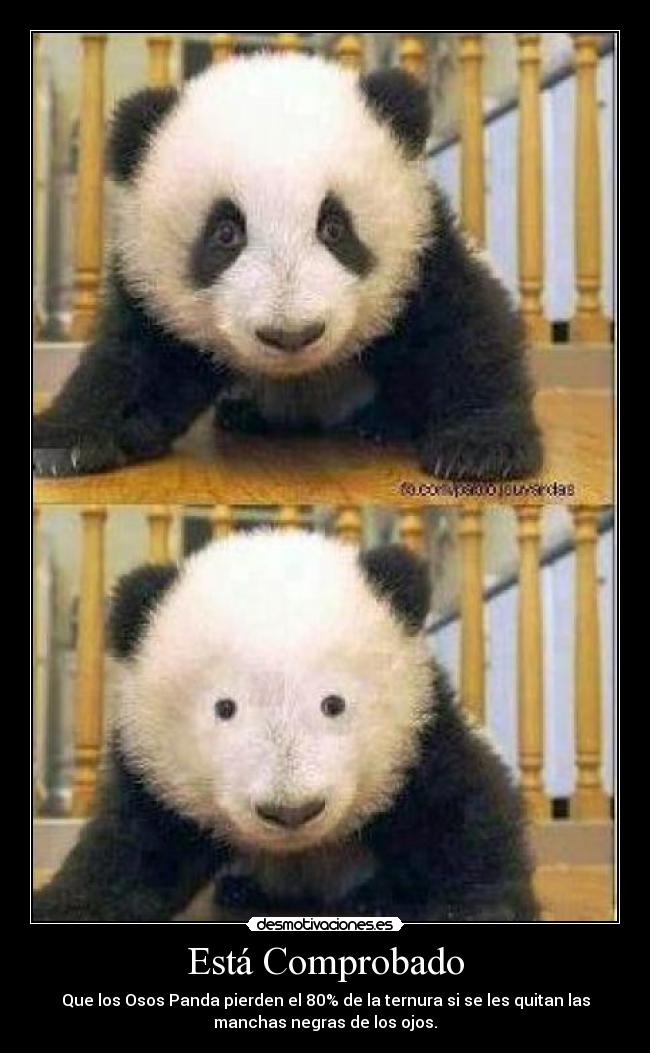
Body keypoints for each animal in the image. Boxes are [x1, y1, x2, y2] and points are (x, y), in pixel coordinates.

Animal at [33, 54, 542, 481]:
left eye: (334, 227)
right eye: (225, 233)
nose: (291, 335)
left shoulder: (422, 254)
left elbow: (465, 330)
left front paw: (481, 449)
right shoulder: (152, 290)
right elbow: (132, 359)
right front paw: (65, 443)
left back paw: (382, 422)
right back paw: (246, 414)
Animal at [33, 530, 538, 922]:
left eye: (333, 704)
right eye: (225, 708)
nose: (291, 811)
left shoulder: (420, 735)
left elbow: (462, 824)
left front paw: (474, 906)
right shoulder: (153, 766)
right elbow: (129, 852)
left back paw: (368, 900)